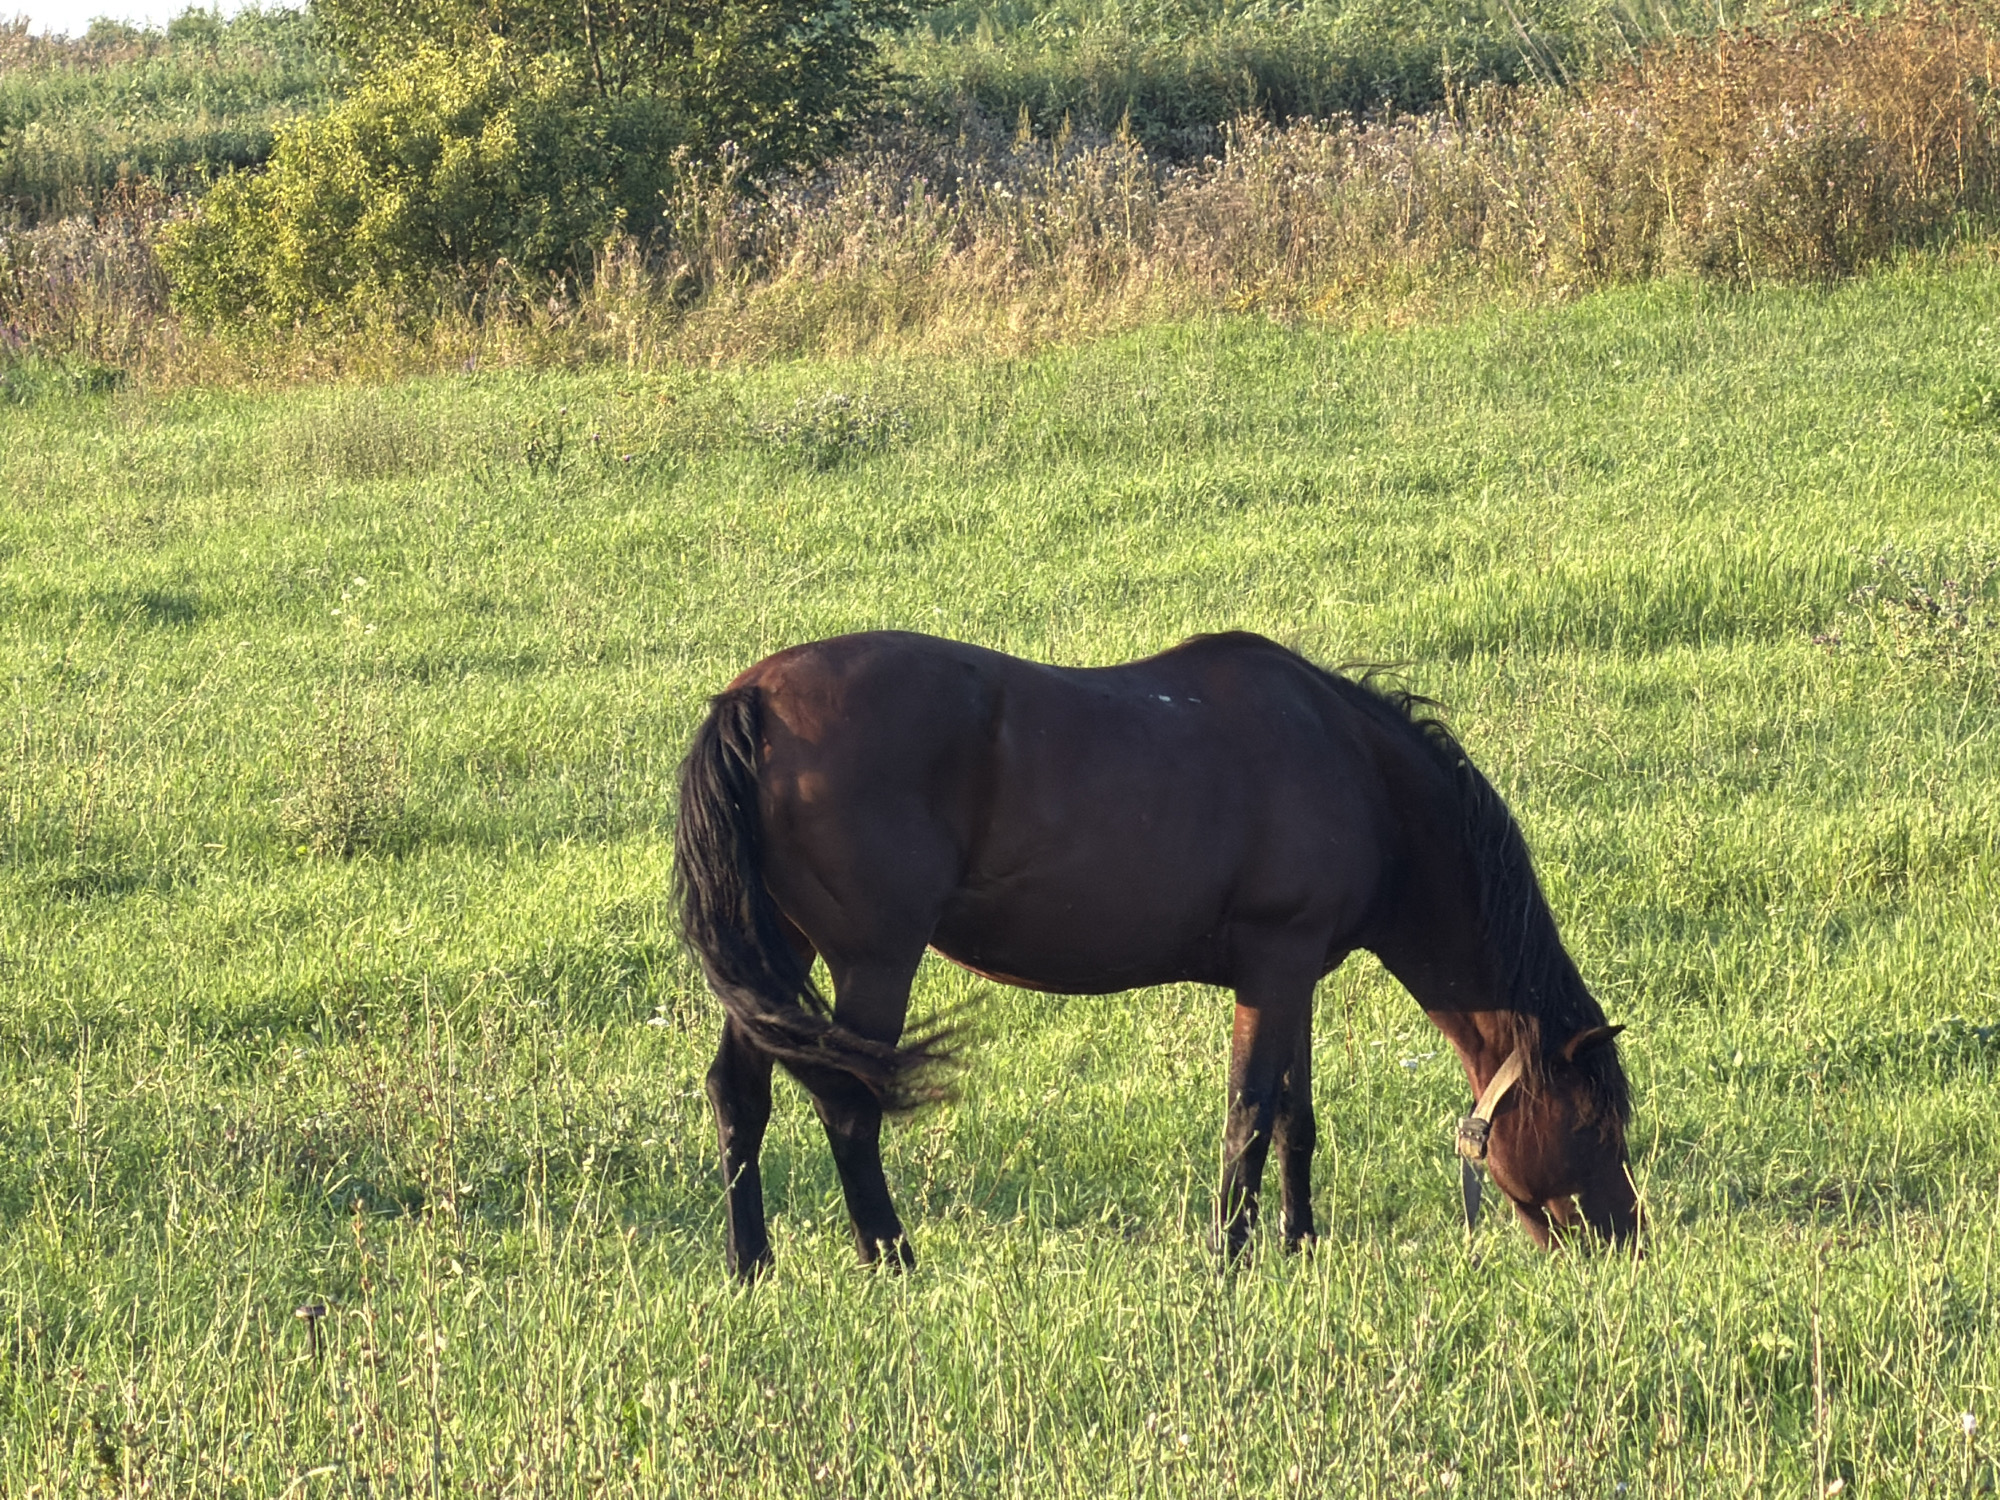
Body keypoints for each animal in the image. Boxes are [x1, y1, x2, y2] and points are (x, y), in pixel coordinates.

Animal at [673, 630, 1637, 1280]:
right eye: (1597, 1125)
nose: (1626, 1241)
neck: (1356, 771)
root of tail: (753, 701)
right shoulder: (1273, 966)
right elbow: (1249, 1117)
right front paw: (1230, 1263)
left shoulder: (1296, 974)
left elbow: (1296, 1119)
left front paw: (1300, 1244)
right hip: (871, 962)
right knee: (848, 1108)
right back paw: (893, 1261)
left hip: (779, 955)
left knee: (740, 1097)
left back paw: (751, 1267)